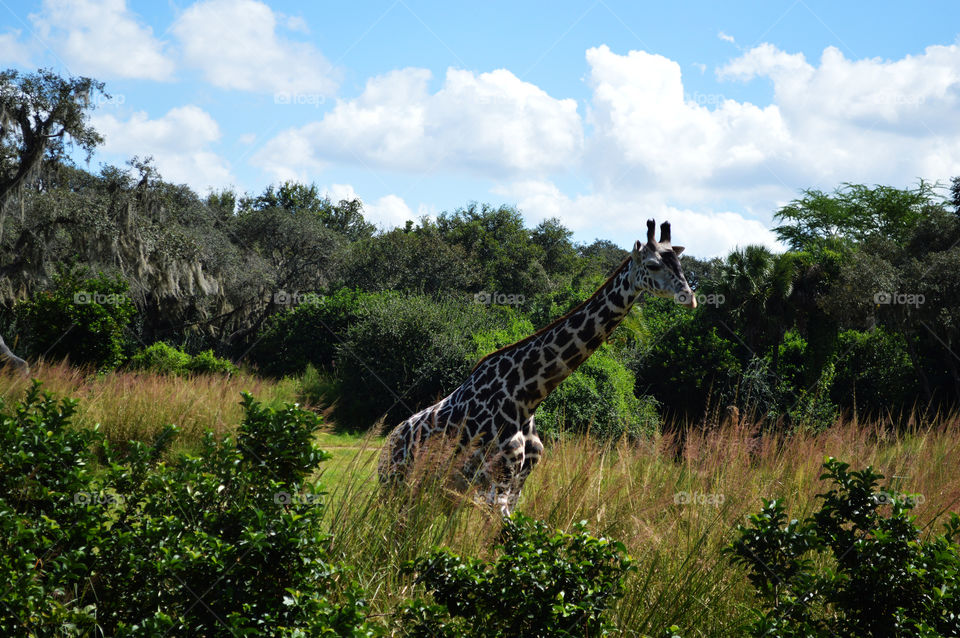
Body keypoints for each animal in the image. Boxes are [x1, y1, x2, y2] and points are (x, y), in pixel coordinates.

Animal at [376, 220, 696, 516]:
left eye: (680, 264)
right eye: (653, 265)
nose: (689, 297)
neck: (527, 395)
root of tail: (389, 441)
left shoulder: (517, 484)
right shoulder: (496, 485)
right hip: (395, 485)